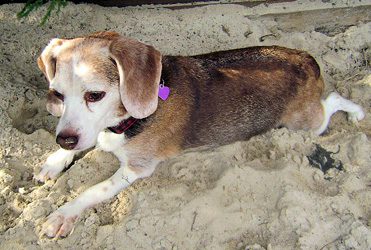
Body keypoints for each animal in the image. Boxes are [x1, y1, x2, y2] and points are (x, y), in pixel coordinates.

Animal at [35, 31, 366, 238]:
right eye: (58, 94)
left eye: (95, 95)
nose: (63, 139)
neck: (123, 121)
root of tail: (305, 58)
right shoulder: (85, 132)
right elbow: (77, 144)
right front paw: (54, 160)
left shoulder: (137, 168)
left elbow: (94, 190)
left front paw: (63, 214)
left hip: (307, 123)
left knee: (333, 100)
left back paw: (357, 112)